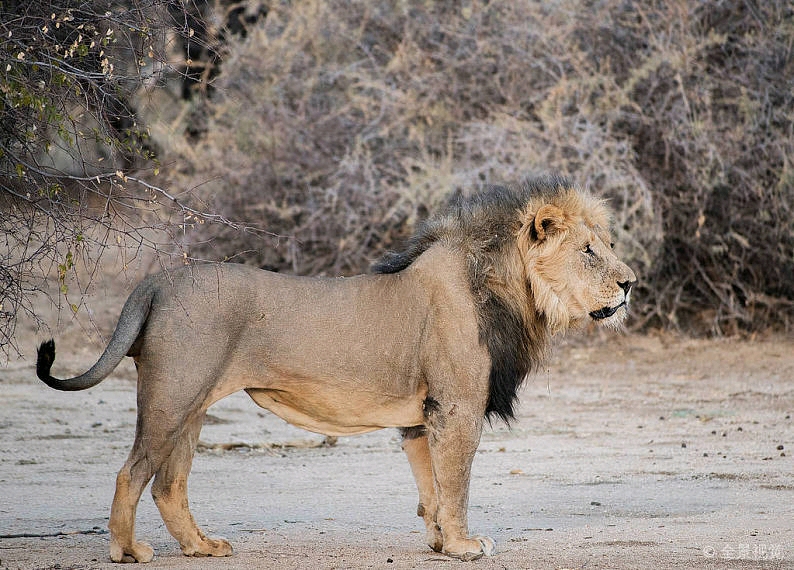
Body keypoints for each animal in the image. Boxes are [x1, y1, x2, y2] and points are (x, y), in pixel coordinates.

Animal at [37, 176, 636, 560]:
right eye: (588, 251)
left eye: (608, 244)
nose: (630, 283)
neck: (509, 289)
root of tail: (158, 280)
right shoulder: (457, 407)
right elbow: (457, 483)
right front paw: (466, 545)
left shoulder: (421, 417)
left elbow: (431, 488)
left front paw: (440, 543)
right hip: (173, 396)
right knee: (132, 472)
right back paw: (128, 550)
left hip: (192, 405)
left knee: (169, 482)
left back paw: (201, 547)